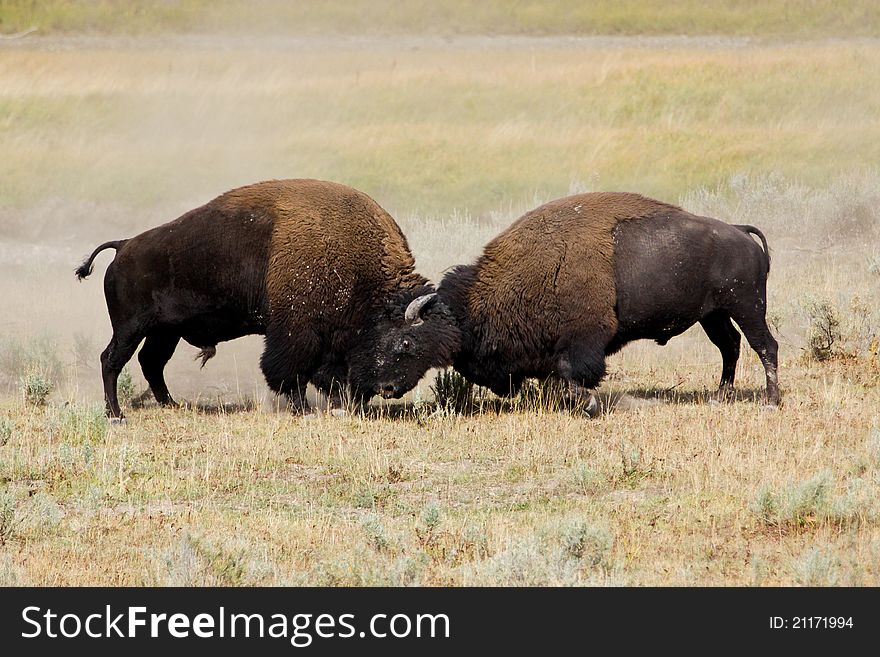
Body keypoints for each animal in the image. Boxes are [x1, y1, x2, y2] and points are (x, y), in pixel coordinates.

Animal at [76, 177, 460, 418]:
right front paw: (304, 410)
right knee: (112, 360)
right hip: (131, 326)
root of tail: (125, 245)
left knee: (151, 363)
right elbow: (291, 372)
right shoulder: (295, 334)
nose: (390, 389)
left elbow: (327, 373)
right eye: (407, 343)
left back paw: (173, 405)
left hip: (164, 331)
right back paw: (116, 414)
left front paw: (336, 406)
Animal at [382, 192, 780, 412]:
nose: (386, 388)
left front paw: (588, 405)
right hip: (713, 315)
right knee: (730, 346)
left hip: (747, 306)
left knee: (764, 345)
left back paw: (771, 400)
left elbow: (573, 373)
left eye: (407, 342)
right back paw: (721, 395)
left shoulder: (584, 339)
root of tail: (739, 232)